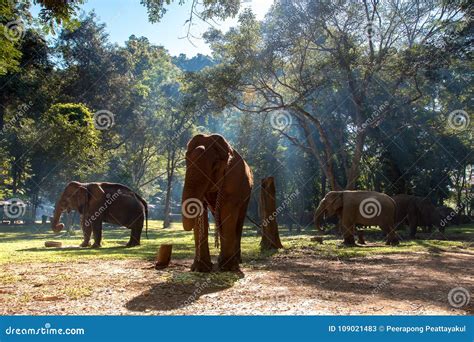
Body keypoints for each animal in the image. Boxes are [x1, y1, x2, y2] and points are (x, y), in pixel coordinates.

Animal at [181, 134, 254, 272]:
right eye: (186, 162)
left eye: (214, 165)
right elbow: (201, 210)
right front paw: (200, 268)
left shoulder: (233, 180)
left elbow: (228, 210)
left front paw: (228, 268)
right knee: (218, 217)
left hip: (248, 195)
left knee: (238, 221)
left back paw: (236, 261)